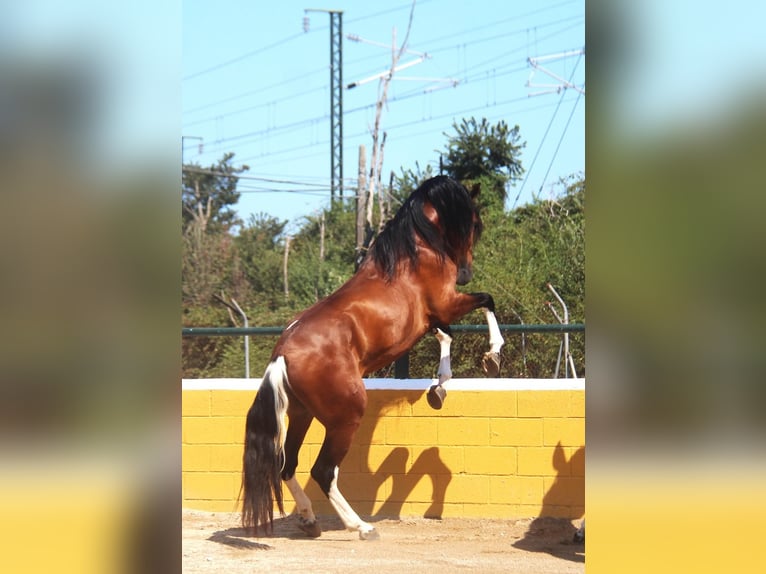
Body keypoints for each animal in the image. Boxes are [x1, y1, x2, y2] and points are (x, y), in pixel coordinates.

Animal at [244, 176, 504, 540]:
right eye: (475, 223)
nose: (465, 271)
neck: (414, 253)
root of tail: (282, 353)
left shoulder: (430, 318)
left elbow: (445, 335)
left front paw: (438, 388)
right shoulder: (446, 303)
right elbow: (486, 301)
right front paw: (493, 354)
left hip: (301, 415)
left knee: (287, 465)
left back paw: (310, 521)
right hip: (345, 417)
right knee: (323, 471)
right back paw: (361, 526)